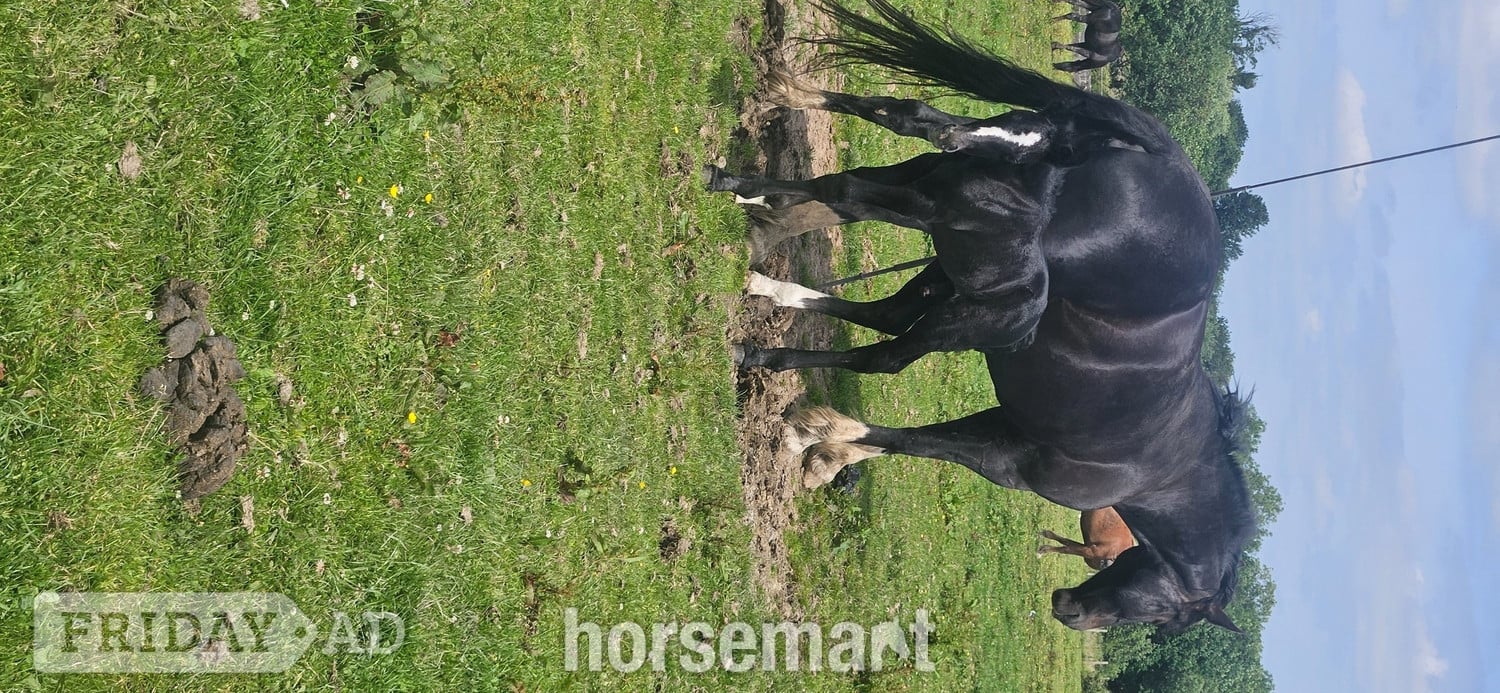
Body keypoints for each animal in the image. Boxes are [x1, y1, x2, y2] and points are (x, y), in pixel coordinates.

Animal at [707, 0, 1253, 634]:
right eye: (1164, 617)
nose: (1070, 610)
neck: (1165, 470)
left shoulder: (1004, 422)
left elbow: (908, 435)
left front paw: (826, 448)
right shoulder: (1009, 461)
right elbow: (914, 439)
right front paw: (816, 435)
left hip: (941, 221)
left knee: (877, 230)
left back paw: (762, 215)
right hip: (948, 229)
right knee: (879, 288)